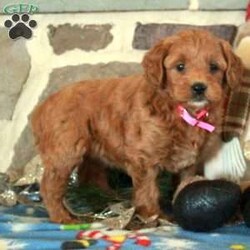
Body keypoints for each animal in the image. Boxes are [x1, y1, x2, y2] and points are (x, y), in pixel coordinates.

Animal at [30, 29, 242, 223]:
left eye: (213, 67)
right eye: (180, 67)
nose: (199, 87)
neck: (182, 112)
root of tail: (42, 107)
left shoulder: (188, 162)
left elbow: (184, 185)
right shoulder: (143, 158)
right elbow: (148, 190)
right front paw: (153, 215)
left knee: (89, 175)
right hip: (65, 151)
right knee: (49, 187)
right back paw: (62, 217)